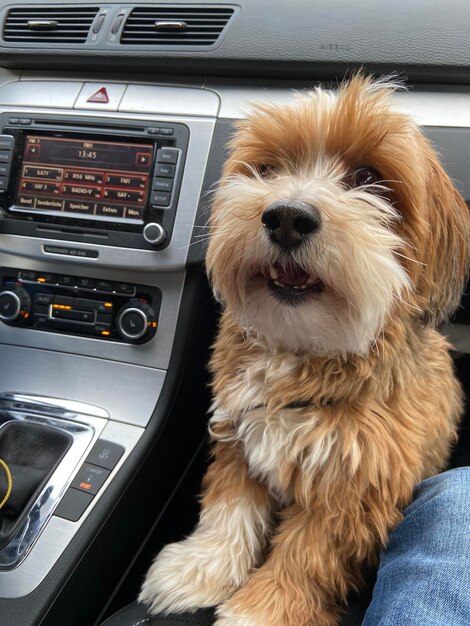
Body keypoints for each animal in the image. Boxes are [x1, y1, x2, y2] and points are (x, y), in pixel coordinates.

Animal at [140, 74, 470, 624]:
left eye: (366, 177)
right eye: (270, 168)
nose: (287, 217)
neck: (304, 349)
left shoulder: (353, 484)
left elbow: (308, 554)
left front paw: (261, 611)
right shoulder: (239, 435)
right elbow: (229, 510)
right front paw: (200, 567)